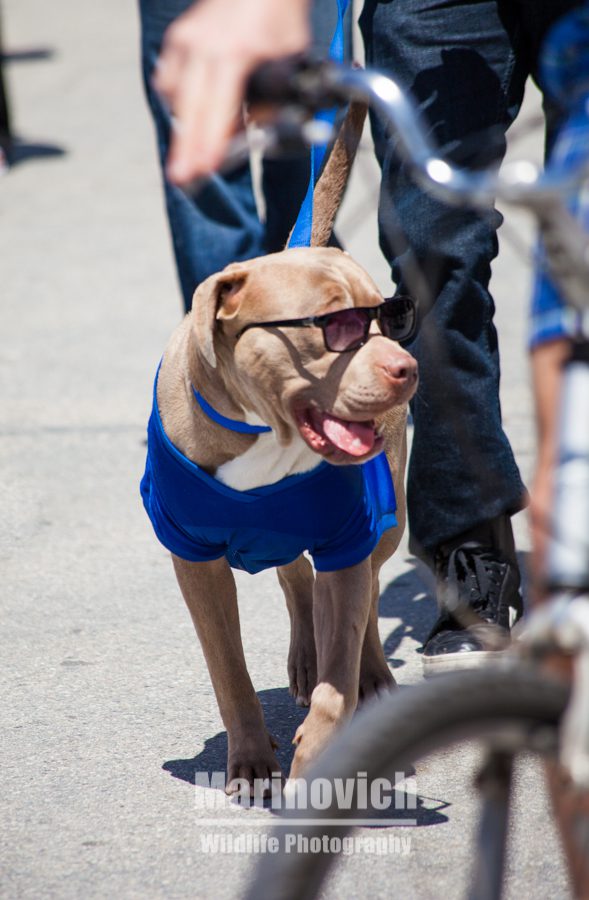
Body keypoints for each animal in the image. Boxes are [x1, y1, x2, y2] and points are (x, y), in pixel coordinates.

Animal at [140, 107, 416, 796]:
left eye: (387, 318)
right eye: (336, 326)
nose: (408, 367)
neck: (266, 435)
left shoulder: (351, 532)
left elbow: (340, 667)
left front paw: (321, 747)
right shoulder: (194, 560)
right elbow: (227, 667)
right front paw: (249, 757)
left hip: (387, 518)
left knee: (368, 590)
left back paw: (372, 677)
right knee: (296, 576)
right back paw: (304, 658)